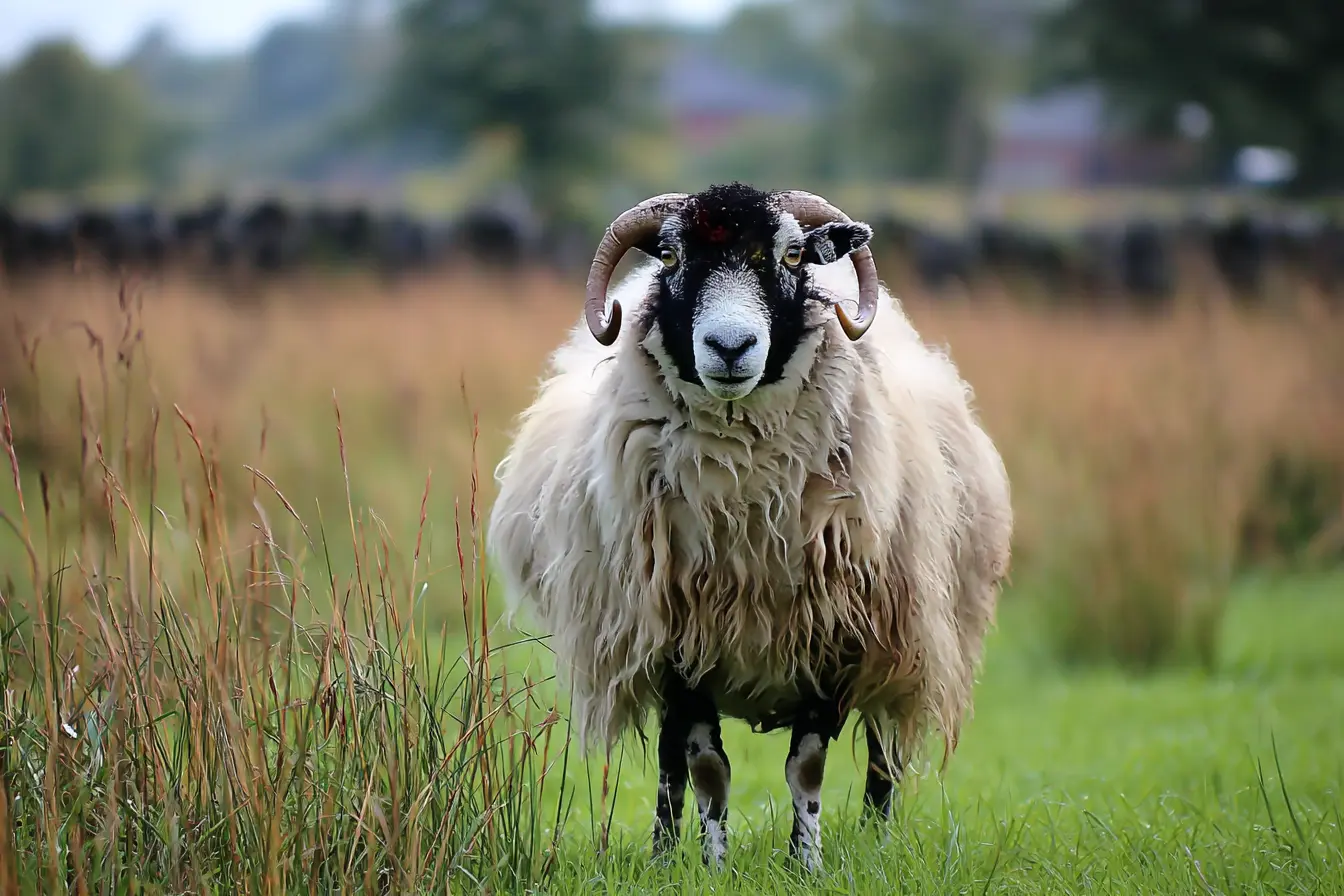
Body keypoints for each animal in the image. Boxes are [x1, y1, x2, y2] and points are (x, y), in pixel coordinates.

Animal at [486, 182, 1013, 871]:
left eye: (791, 256)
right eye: (671, 255)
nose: (731, 347)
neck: (744, 510)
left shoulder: (835, 636)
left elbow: (806, 767)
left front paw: (806, 863)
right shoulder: (680, 643)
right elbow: (706, 767)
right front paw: (712, 866)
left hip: (905, 636)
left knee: (883, 752)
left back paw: (876, 841)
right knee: (670, 764)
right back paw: (663, 855)